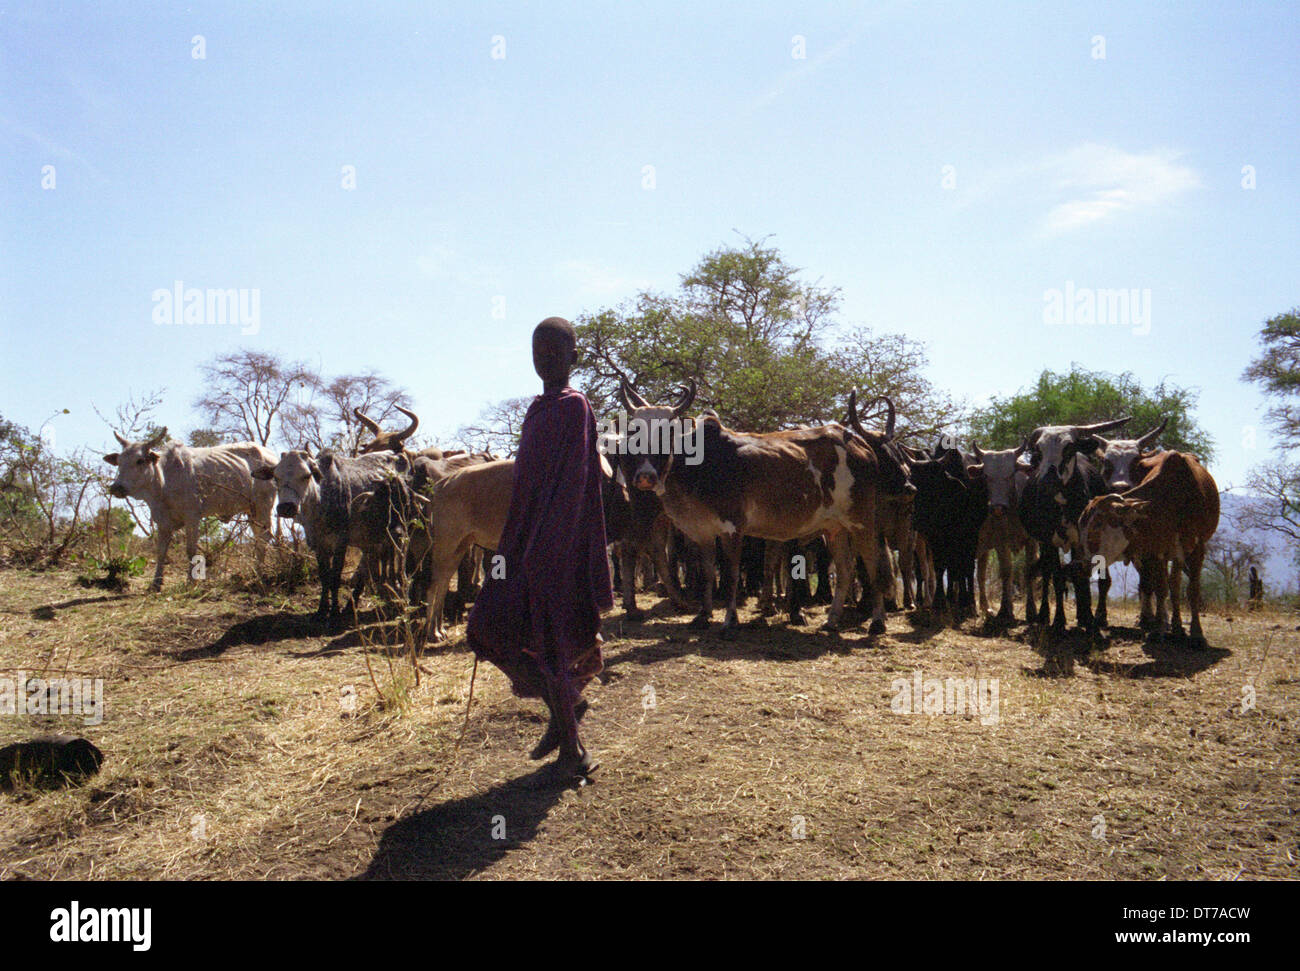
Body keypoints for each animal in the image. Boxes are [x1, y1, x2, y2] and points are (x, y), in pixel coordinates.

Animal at [102, 428, 275, 587]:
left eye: (139, 460)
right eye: (119, 461)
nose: (116, 488)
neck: (164, 480)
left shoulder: (192, 517)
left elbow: (190, 550)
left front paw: (191, 581)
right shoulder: (163, 521)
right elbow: (161, 551)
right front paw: (156, 583)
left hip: (263, 507)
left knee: (264, 539)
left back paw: (259, 574)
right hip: (251, 512)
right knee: (259, 539)